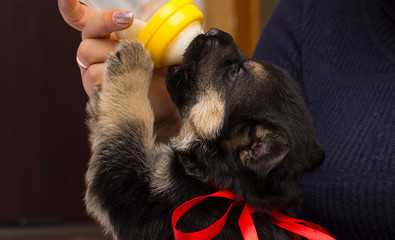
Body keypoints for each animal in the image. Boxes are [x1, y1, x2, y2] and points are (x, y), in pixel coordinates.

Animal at [86, 28, 324, 240]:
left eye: (235, 73)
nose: (214, 31)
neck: (214, 180)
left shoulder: (131, 191)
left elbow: (130, 118)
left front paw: (132, 62)